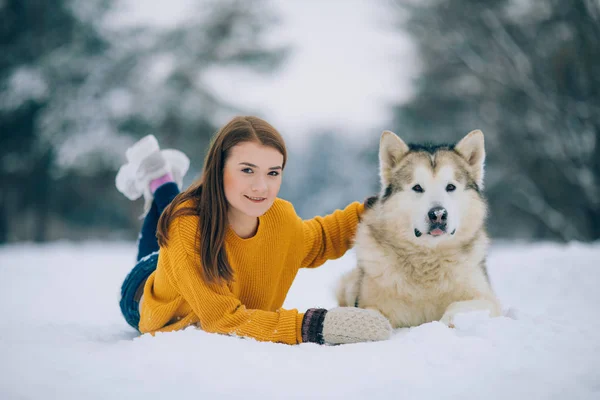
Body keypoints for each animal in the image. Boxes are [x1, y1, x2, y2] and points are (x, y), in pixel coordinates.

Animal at [338, 130, 502, 326]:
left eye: (450, 187)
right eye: (417, 187)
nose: (438, 214)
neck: (427, 259)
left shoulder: (488, 300)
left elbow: (458, 306)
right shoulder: (368, 302)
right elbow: (372, 314)